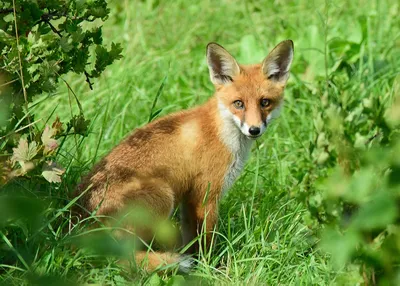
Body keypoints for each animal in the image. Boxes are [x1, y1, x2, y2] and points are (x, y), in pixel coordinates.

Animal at [75, 39, 294, 272]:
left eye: (265, 102)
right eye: (238, 103)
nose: (254, 130)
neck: (221, 132)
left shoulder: (189, 200)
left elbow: (191, 241)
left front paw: (198, 265)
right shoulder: (205, 196)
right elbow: (207, 241)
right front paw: (211, 268)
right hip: (163, 195)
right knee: (123, 257)